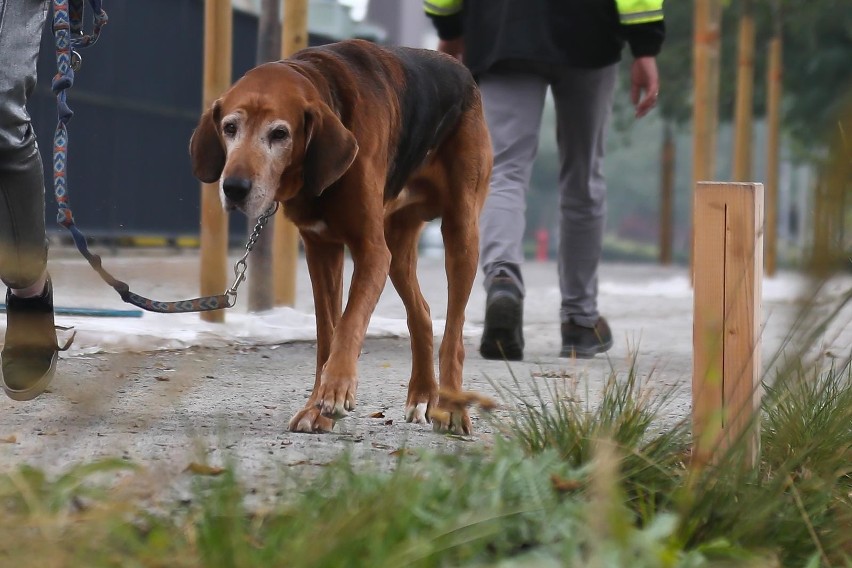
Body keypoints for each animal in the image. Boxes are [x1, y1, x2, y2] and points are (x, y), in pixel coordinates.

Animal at [189, 37, 490, 432]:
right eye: (229, 128)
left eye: (279, 134)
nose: (235, 188)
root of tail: (460, 69)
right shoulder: (322, 250)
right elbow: (326, 335)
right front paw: (316, 408)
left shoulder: (371, 252)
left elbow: (349, 324)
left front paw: (336, 390)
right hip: (398, 249)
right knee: (422, 314)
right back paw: (424, 395)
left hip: (460, 231)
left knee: (453, 331)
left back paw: (453, 407)